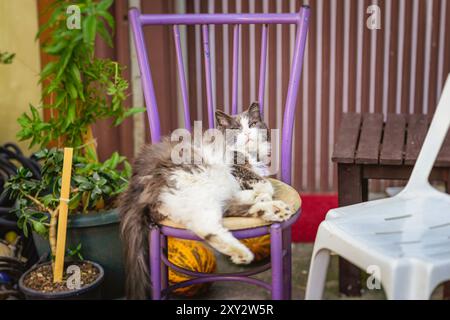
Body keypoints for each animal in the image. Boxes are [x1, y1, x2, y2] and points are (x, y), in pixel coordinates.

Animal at [119, 103, 294, 300]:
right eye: (236, 129)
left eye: (252, 124)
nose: (247, 133)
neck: (250, 154)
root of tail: (137, 185)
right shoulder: (236, 167)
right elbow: (263, 182)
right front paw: (263, 190)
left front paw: (260, 193)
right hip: (202, 179)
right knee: (206, 225)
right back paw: (243, 252)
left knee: (223, 212)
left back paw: (273, 209)